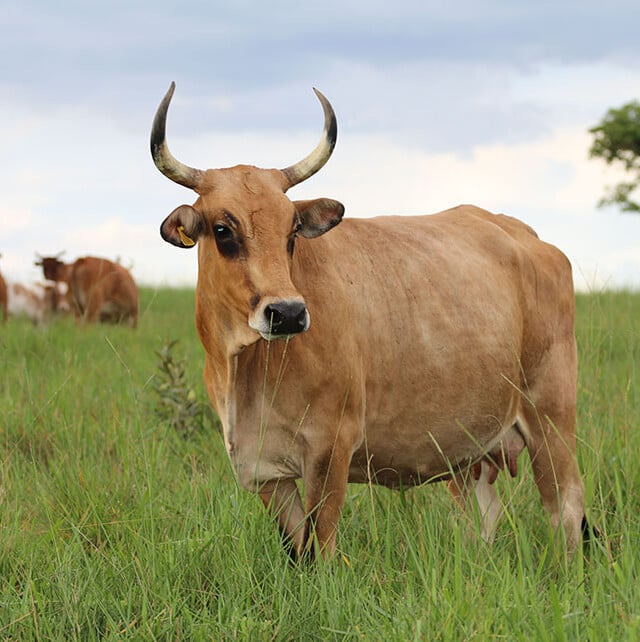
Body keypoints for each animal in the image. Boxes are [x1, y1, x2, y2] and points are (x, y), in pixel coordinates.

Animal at [150, 82, 592, 556]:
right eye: (222, 229)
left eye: (292, 231)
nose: (288, 313)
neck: (246, 369)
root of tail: (524, 235)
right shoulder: (268, 473)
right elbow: (296, 550)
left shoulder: (330, 453)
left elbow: (318, 549)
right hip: (472, 454)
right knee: (483, 519)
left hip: (550, 418)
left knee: (565, 508)